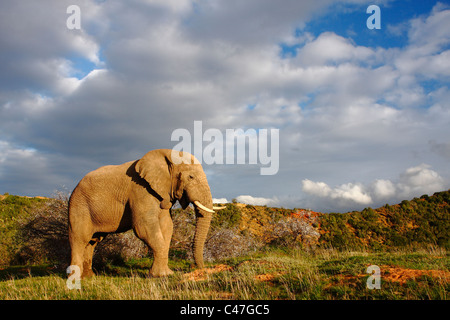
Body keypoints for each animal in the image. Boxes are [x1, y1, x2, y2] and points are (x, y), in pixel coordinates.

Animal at [68, 150, 223, 278]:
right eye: (191, 177)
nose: (202, 269)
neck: (166, 155)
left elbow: (167, 226)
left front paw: (165, 274)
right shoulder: (140, 190)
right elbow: (144, 227)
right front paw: (162, 275)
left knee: (93, 241)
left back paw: (89, 277)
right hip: (78, 206)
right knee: (79, 238)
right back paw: (75, 279)